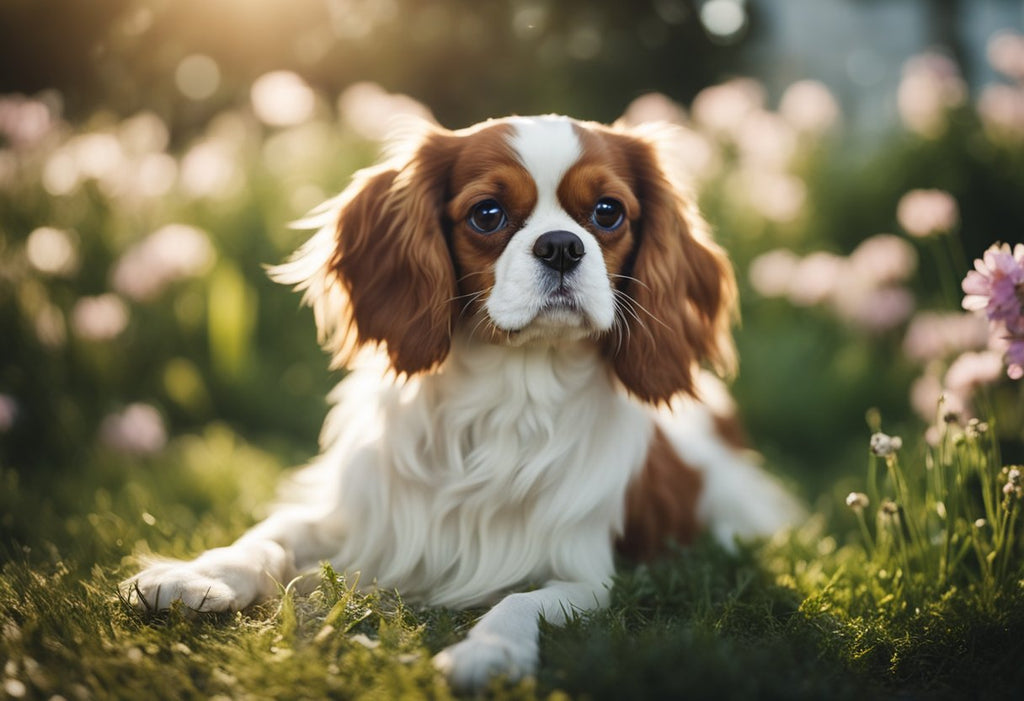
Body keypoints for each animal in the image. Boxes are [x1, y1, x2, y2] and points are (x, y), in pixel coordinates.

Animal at [123, 113, 798, 687]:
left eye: (608, 213)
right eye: (487, 213)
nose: (561, 244)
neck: (513, 384)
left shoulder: (584, 573)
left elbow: (522, 601)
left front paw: (488, 653)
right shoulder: (361, 516)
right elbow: (271, 533)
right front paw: (197, 576)